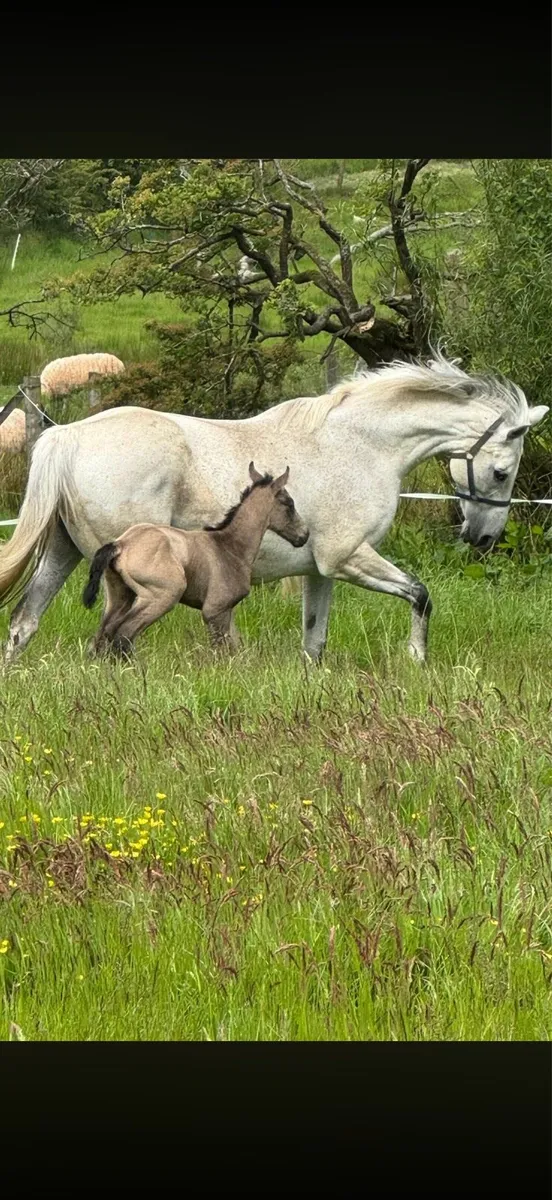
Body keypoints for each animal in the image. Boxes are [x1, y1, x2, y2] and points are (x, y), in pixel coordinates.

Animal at [82, 463, 308, 655]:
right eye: (289, 503)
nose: (303, 536)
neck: (230, 546)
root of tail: (122, 544)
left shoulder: (227, 610)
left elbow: (235, 646)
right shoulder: (214, 610)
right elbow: (222, 649)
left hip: (119, 595)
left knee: (103, 633)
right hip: (163, 594)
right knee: (124, 632)